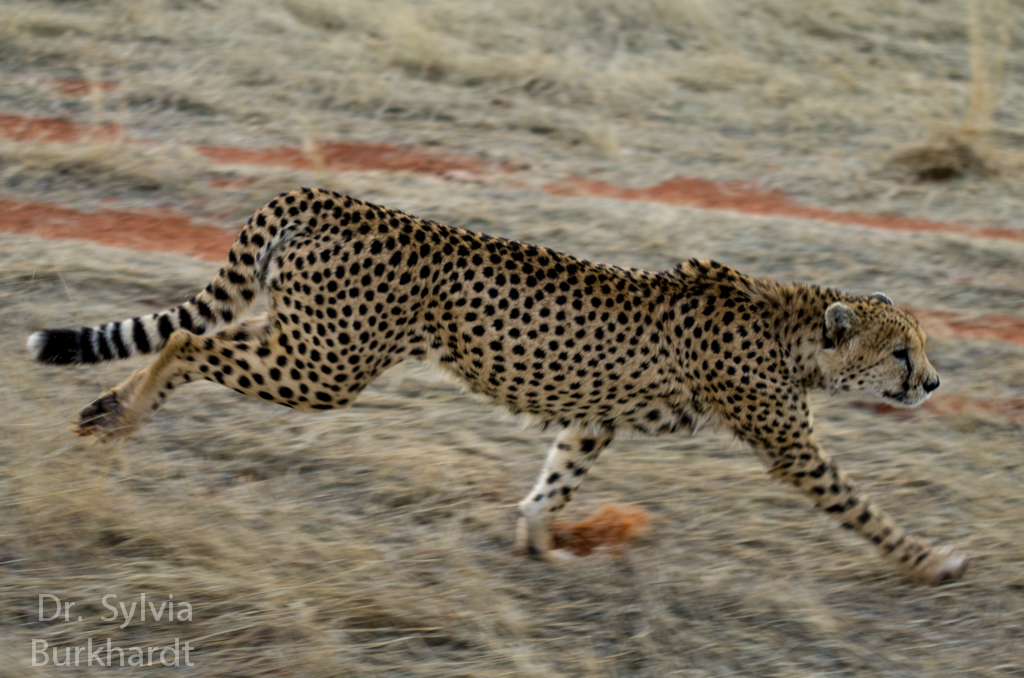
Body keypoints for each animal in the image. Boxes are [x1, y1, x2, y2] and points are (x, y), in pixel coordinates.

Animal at [25, 188, 966, 585]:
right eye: (900, 353)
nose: (933, 381)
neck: (794, 324)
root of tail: (330, 195)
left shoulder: (594, 416)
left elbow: (556, 478)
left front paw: (538, 543)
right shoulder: (789, 446)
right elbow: (863, 508)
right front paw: (932, 559)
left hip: (307, 340)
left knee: (199, 335)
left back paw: (107, 410)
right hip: (325, 366)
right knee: (187, 339)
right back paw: (118, 415)